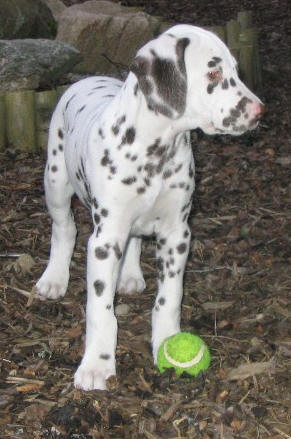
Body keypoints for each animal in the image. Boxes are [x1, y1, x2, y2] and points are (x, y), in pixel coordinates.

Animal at [36, 24, 264, 392]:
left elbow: (169, 298)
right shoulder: (104, 240)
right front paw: (97, 365)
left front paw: (166, 341)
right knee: (64, 228)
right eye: (213, 72)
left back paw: (129, 274)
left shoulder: (177, 233)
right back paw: (54, 278)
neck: (155, 150)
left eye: (236, 69)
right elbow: (101, 310)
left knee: (134, 239)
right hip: (56, 182)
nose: (259, 111)